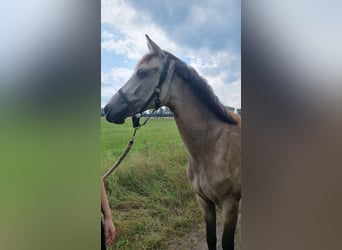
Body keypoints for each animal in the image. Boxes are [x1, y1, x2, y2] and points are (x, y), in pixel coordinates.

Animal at [104, 35, 240, 250]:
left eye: (142, 72)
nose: (107, 110)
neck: (214, 146)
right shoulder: (204, 202)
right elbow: (211, 239)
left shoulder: (230, 205)